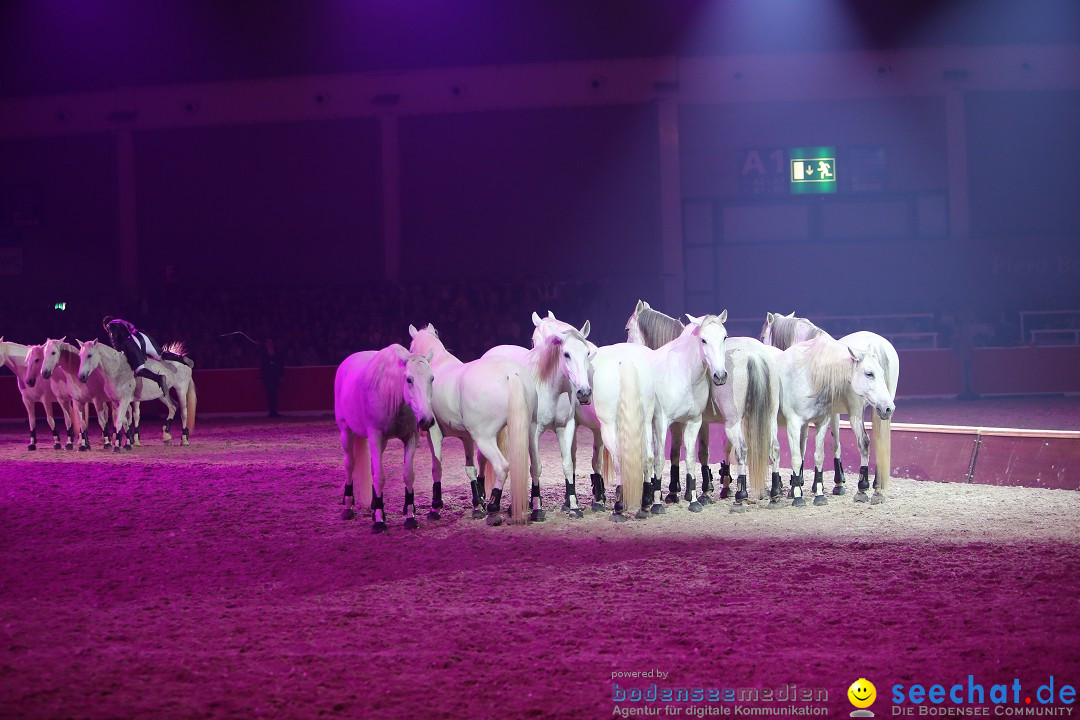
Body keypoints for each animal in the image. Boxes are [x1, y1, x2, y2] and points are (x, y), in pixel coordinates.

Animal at [336, 343, 438, 535]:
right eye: (409, 380)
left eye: (432, 379)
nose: (427, 420)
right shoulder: (375, 437)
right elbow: (379, 478)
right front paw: (379, 521)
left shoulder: (411, 438)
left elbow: (408, 475)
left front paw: (410, 517)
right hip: (346, 431)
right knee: (349, 465)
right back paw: (348, 507)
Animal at [406, 323, 537, 526]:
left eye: (411, 348)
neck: (439, 365)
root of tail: (510, 373)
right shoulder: (466, 436)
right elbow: (471, 469)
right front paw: (477, 505)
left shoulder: (434, 433)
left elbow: (437, 468)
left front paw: (435, 508)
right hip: (526, 431)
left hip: (484, 438)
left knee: (502, 466)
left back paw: (493, 509)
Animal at [483, 325, 596, 518]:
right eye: (566, 354)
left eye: (587, 353)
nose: (584, 392)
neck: (550, 389)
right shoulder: (532, 430)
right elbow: (535, 467)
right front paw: (537, 508)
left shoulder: (566, 428)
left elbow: (568, 465)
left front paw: (574, 506)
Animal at [760, 313, 902, 505]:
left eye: (762, 336)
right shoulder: (830, 415)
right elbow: (828, 445)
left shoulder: (826, 416)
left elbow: (816, 447)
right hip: (879, 410)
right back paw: (876, 488)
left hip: (859, 413)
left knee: (864, 442)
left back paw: (862, 487)